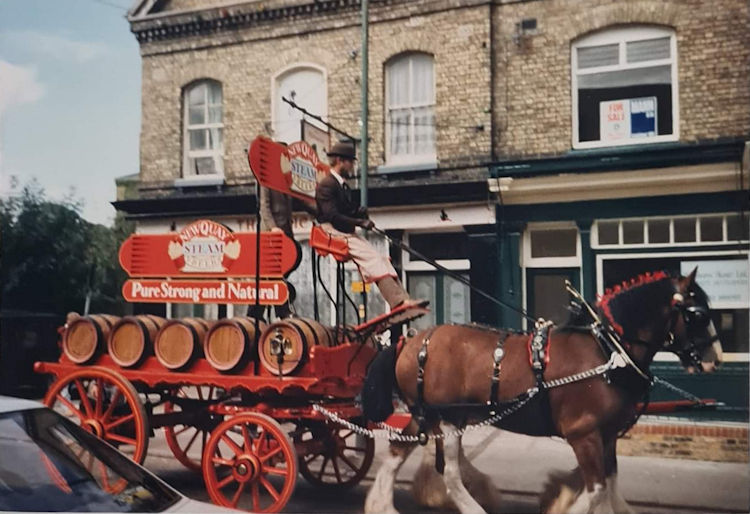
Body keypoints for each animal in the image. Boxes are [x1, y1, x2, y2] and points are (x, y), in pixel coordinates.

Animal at [362, 268, 724, 512]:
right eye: (697, 314)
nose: (713, 360)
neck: (607, 352)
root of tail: (410, 341)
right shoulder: (583, 434)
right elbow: (596, 489)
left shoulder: (607, 435)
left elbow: (610, 485)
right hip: (446, 416)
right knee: (449, 473)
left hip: (428, 414)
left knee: (398, 451)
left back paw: (381, 505)